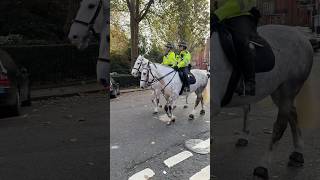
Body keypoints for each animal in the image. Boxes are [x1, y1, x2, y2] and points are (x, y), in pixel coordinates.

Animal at [211, 24, 314, 179]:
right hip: (277, 91)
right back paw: (297, 153)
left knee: (280, 126)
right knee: (292, 114)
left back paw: (263, 166)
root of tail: (302, 37)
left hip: (288, 90)